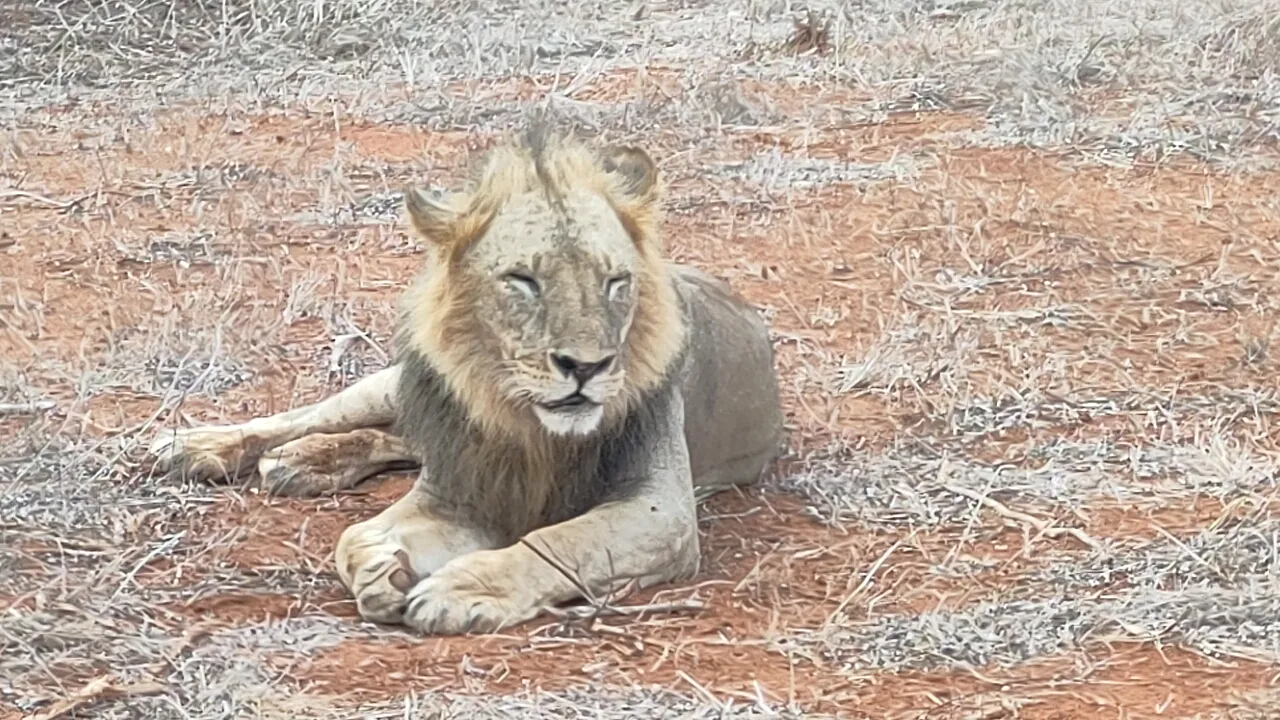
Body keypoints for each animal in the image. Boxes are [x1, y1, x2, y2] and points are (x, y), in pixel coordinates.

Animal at [147, 124, 785, 635]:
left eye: (615, 282)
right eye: (523, 280)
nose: (586, 367)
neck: (528, 424)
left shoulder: (661, 509)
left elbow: (558, 541)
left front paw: (463, 588)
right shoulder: (457, 491)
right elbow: (353, 538)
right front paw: (381, 567)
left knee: (394, 439)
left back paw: (305, 463)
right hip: (393, 384)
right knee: (316, 417)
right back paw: (208, 447)